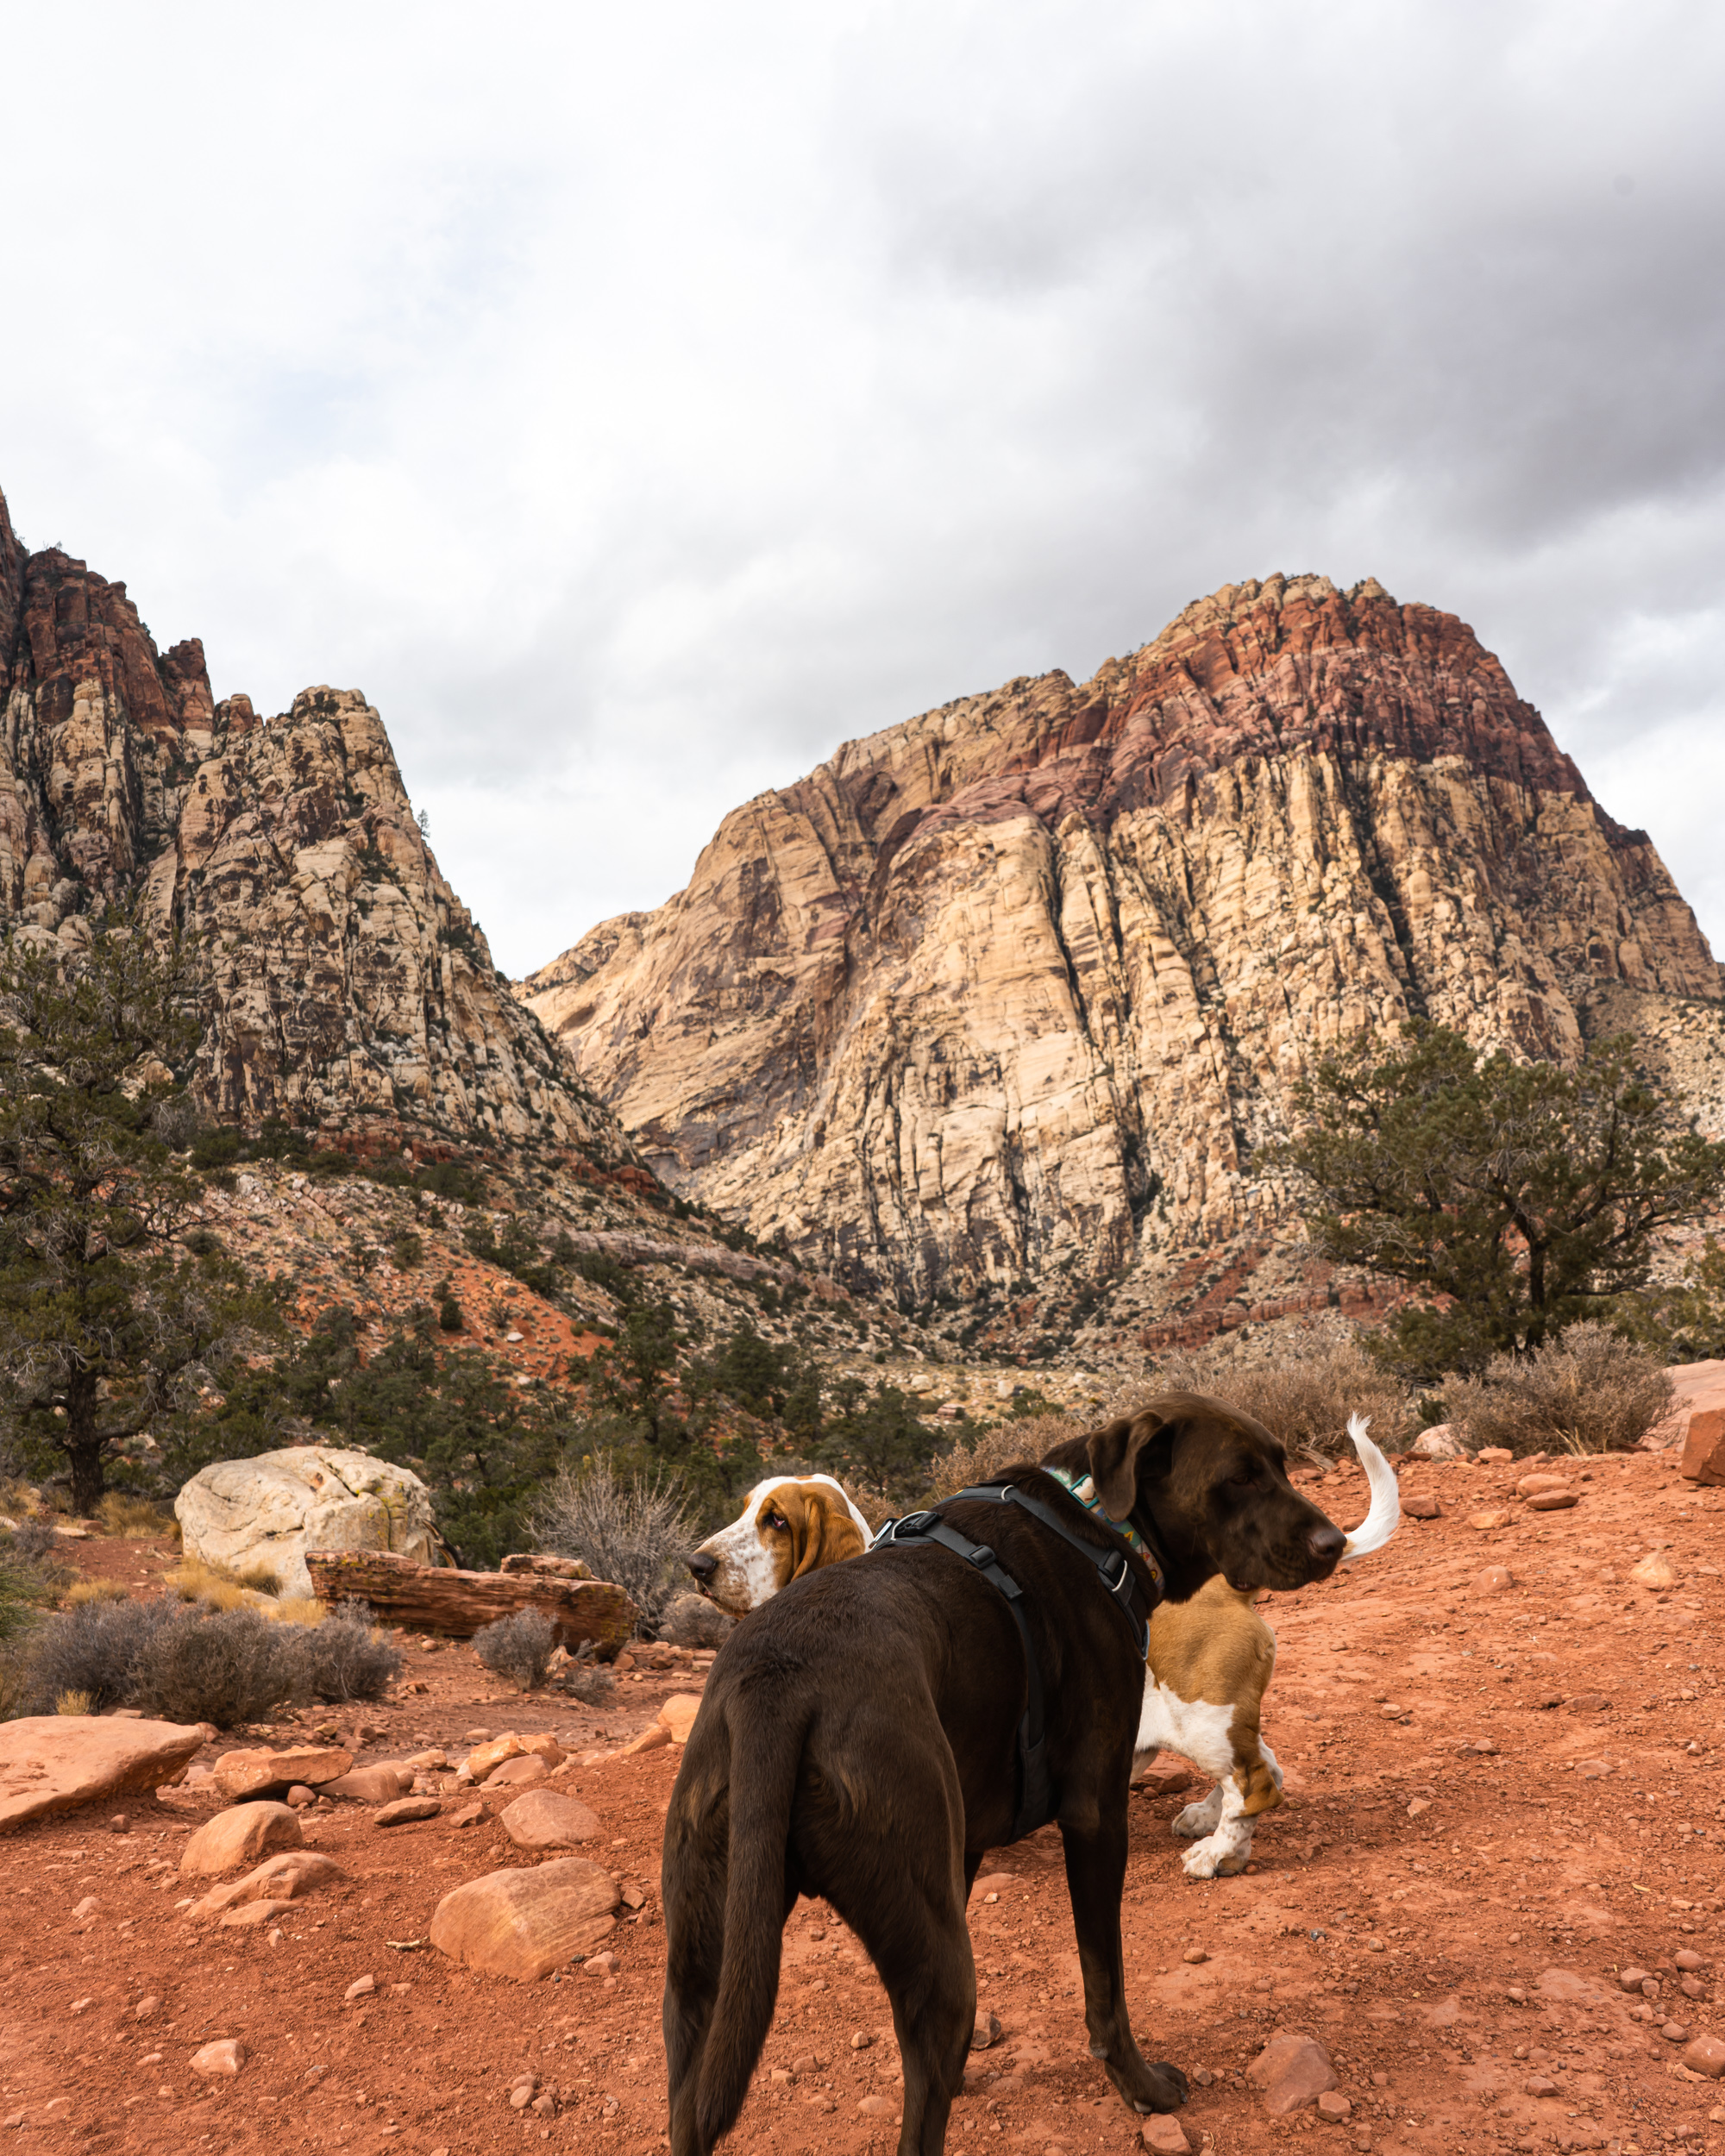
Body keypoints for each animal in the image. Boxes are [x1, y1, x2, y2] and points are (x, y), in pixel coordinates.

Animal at [660, 1388, 1346, 2147]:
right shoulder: (1095, 1819)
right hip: (929, 1963)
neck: (1098, 1527)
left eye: (1280, 1464)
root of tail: (775, 1687)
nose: (1333, 1542)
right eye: (1240, 1476)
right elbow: (1105, 1986)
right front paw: (1141, 2088)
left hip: (701, 1977)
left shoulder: (963, 1846)